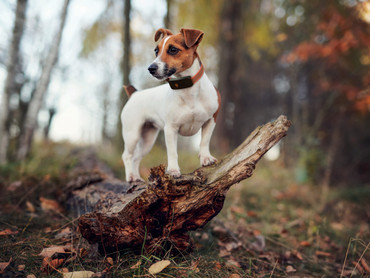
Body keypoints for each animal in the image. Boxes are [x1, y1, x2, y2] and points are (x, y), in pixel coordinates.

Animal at [120, 27, 220, 181]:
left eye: (173, 49)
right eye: (156, 51)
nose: (151, 68)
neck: (188, 90)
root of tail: (134, 94)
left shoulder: (211, 120)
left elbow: (204, 141)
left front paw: (206, 158)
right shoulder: (170, 129)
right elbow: (172, 152)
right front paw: (173, 170)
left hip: (148, 138)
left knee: (136, 157)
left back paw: (137, 178)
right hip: (132, 134)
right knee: (127, 155)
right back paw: (131, 176)